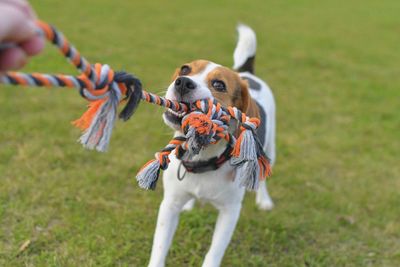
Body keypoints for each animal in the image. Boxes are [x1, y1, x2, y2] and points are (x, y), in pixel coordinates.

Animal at [148, 24, 276, 267]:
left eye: (219, 85)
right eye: (185, 69)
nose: (183, 82)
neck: (202, 159)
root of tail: (247, 74)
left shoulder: (230, 212)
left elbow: (214, 253)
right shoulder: (169, 205)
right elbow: (159, 250)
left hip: (271, 147)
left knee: (263, 176)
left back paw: (264, 200)